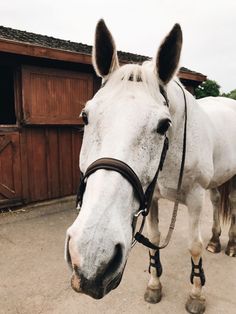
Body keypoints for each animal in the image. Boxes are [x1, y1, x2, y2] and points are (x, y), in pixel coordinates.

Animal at [65, 20, 236, 314]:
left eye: (164, 125)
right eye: (85, 116)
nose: (92, 257)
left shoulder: (194, 197)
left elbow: (193, 247)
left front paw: (196, 295)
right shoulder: (152, 196)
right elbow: (154, 241)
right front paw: (154, 286)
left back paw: (232, 245)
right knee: (216, 201)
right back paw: (215, 241)